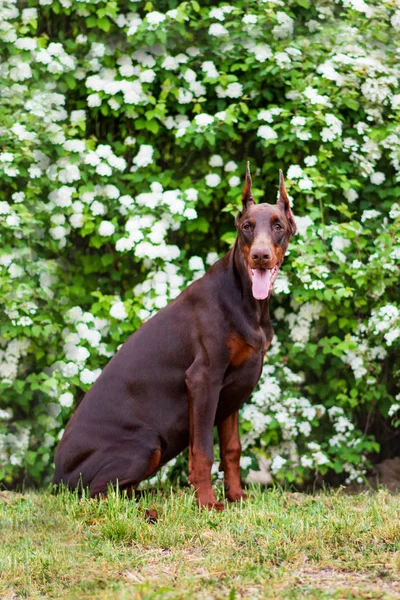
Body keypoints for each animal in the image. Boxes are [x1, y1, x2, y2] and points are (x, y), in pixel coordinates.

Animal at [53, 165, 296, 510]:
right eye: (247, 227)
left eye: (278, 226)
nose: (261, 256)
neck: (246, 299)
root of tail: (57, 478)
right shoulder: (204, 379)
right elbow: (203, 451)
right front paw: (208, 504)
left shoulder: (232, 389)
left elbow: (232, 450)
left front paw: (236, 497)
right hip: (145, 443)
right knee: (98, 494)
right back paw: (148, 512)